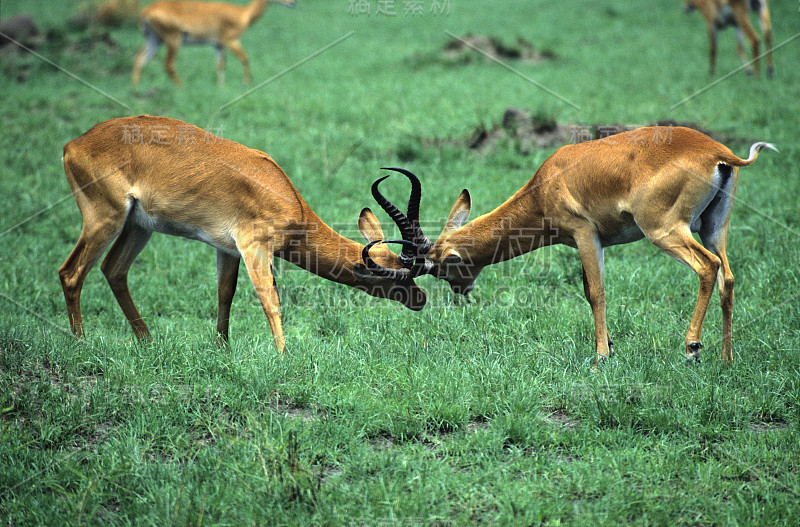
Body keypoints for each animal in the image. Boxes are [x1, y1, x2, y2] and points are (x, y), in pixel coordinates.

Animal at [59, 117, 428, 352]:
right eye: (398, 277)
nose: (420, 299)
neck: (286, 197)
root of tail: (73, 144)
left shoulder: (227, 249)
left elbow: (225, 295)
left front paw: (223, 350)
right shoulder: (254, 248)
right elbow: (270, 300)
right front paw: (283, 356)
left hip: (137, 226)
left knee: (114, 270)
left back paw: (147, 342)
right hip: (105, 218)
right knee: (71, 272)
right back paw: (82, 344)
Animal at [131, 0, 296, 86]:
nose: (293, 2)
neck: (243, 14)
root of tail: (144, 13)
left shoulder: (218, 45)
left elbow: (220, 65)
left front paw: (221, 88)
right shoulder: (230, 40)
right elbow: (245, 58)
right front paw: (246, 84)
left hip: (154, 39)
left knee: (139, 58)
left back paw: (135, 88)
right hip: (173, 39)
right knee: (168, 64)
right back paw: (182, 88)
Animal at [368, 128, 776, 368]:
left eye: (440, 268)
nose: (461, 289)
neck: (549, 181)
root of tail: (718, 154)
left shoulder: (584, 234)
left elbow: (596, 292)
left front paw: (600, 357)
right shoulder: (589, 241)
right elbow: (587, 290)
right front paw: (609, 346)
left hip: (665, 231)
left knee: (707, 267)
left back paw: (692, 349)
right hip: (713, 228)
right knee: (728, 277)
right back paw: (725, 359)